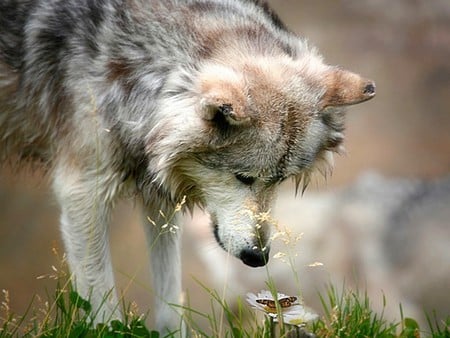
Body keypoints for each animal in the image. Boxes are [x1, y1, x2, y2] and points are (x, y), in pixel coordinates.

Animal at [0, 0, 374, 332]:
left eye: (279, 180)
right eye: (243, 177)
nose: (258, 257)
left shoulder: (160, 200)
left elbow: (169, 302)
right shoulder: (82, 194)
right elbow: (103, 308)